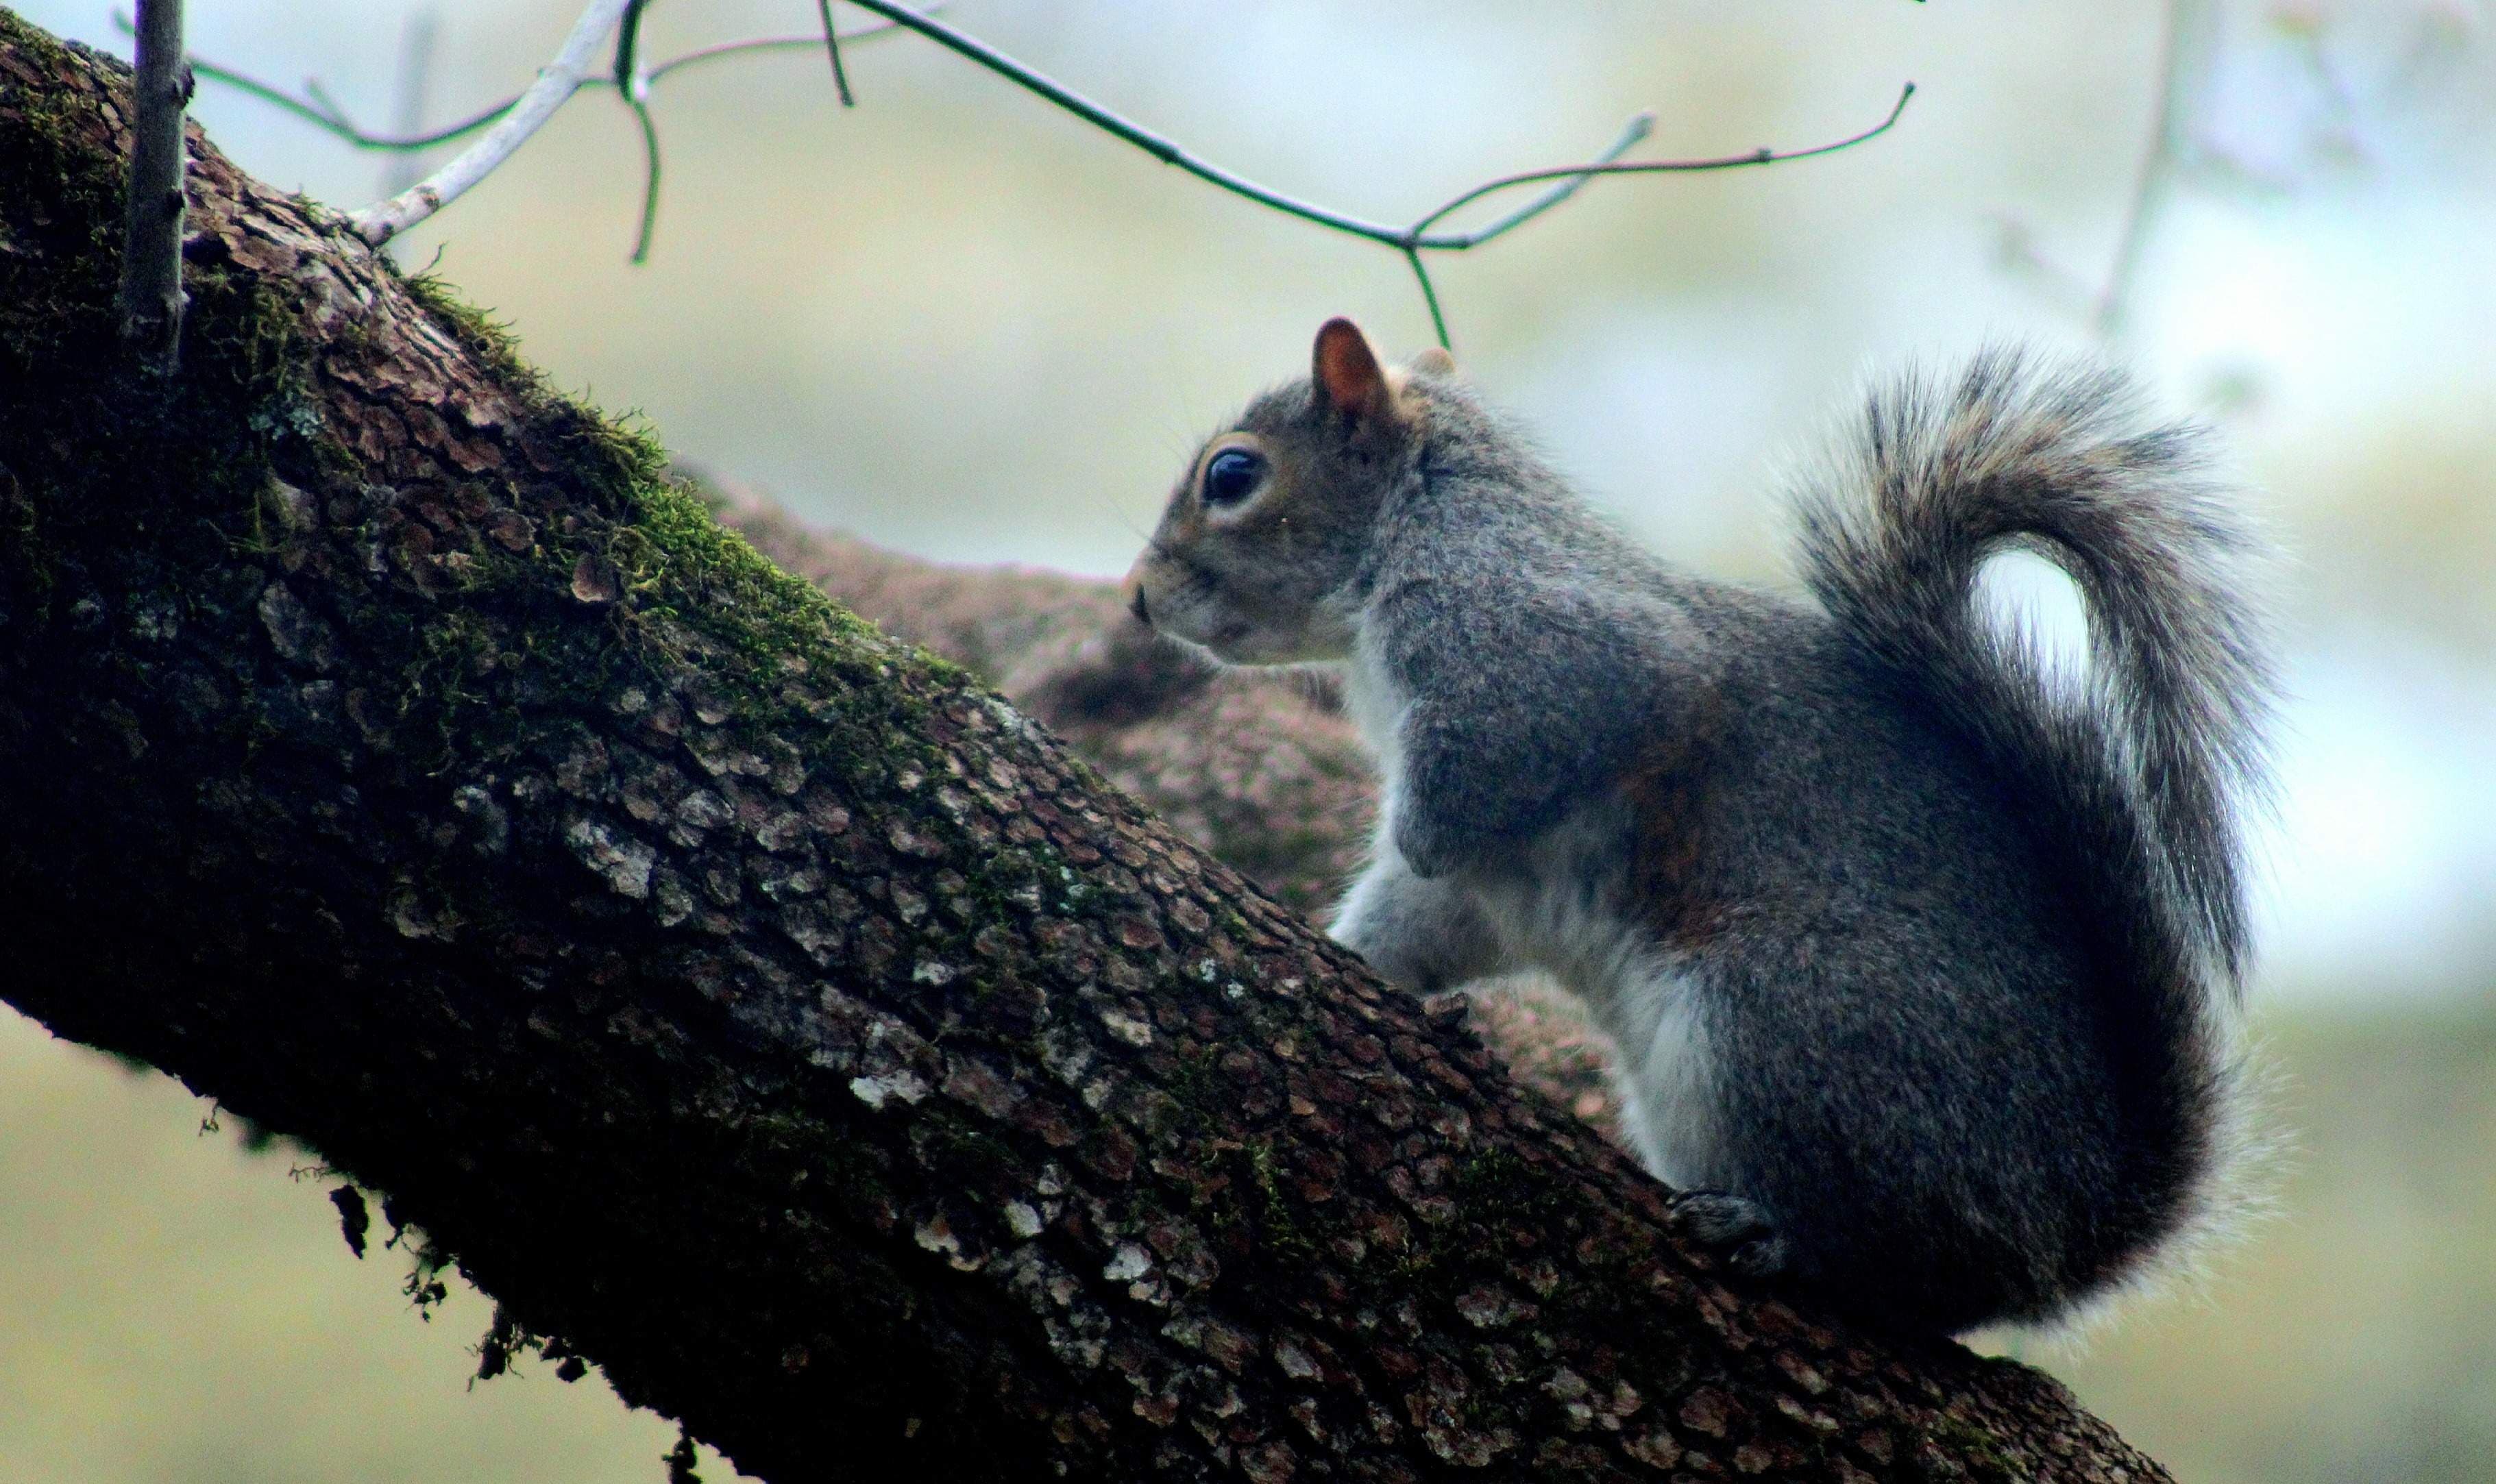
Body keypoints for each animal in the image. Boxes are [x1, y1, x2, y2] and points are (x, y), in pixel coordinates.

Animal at [1123, 318, 2276, 1336]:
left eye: (1233, 475)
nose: (1136, 599)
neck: (1419, 518)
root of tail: (2070, 1226)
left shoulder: (1527, 639)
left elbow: (1485, 786)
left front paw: (1415, 843)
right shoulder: (1477, 886)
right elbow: (1420, 913)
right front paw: (1359, 960)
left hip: (1787, 1026)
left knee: (1906, 1274)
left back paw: (1775, 1238)